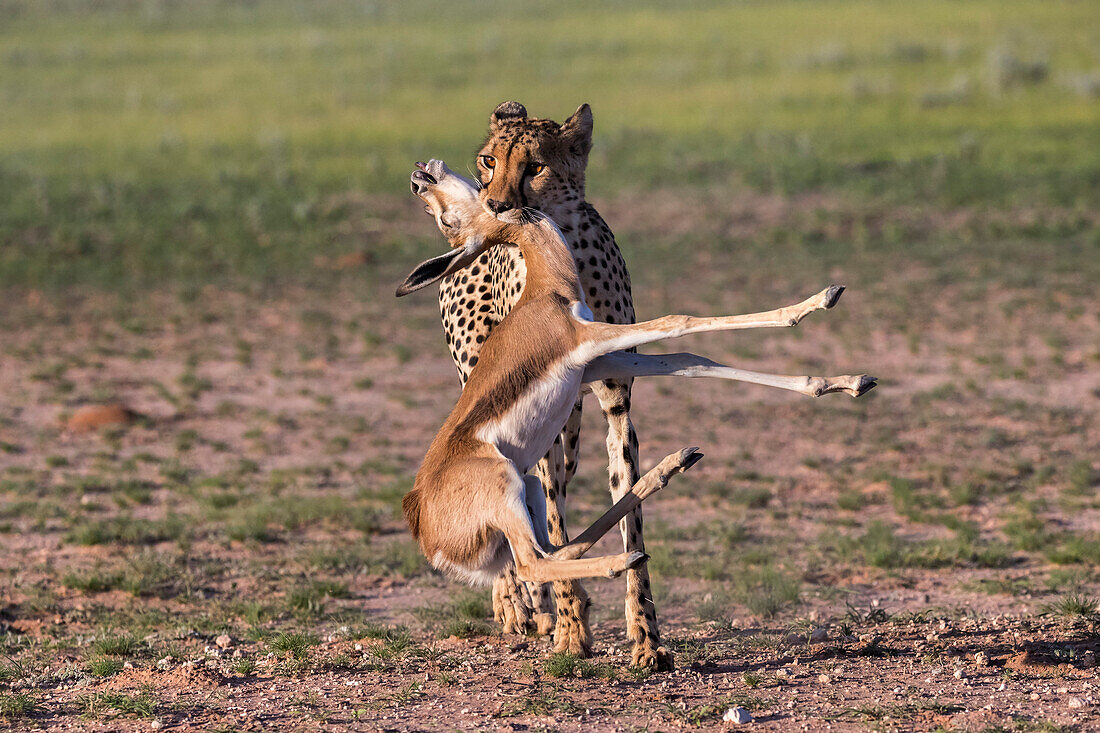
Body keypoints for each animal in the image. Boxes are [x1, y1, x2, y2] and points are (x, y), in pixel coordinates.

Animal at [398, 159, 875, 598]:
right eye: (445, 219)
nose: (419, 175)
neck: (548, 289)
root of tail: (428, 535)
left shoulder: (599, 364)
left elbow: (690, 358)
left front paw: (848, 381)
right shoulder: (591, 340)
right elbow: (679, 321)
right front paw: (823, 301)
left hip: (527, 484)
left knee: (556, 549)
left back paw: (672, 467)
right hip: (507, 483)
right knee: (535, 565)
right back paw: (626, 554)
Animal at [435, 102, 673, 669]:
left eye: (536, 166)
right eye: (489, 160)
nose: (495, 205)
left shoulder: (616, 406)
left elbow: (629, 510)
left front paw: (646, 636)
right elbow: (555, 524)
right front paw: (571, 630)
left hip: (567, 430)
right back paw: (517, 603)